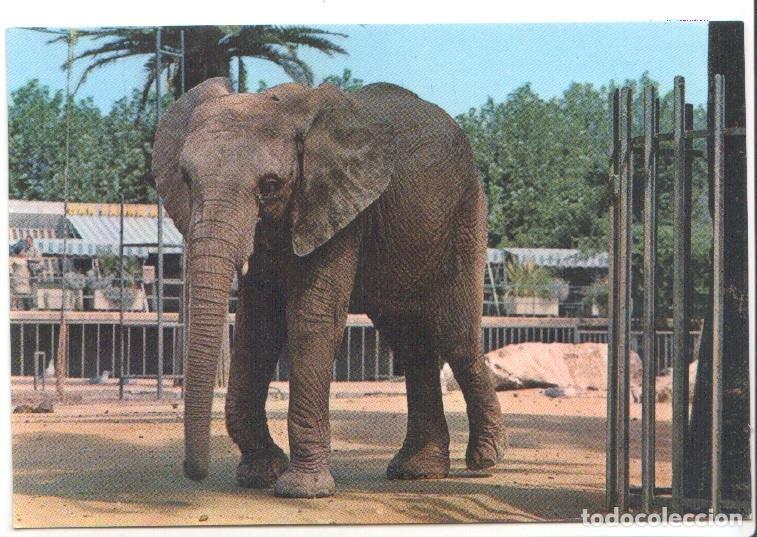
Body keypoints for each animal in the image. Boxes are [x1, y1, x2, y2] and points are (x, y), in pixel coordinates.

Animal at [152, 77, 506, 498]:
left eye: (269, 185)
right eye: (186, 180)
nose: (194, 473)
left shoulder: (338, 205)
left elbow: (311, 317)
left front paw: (301, 490)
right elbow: (259, 325)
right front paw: (259, 475)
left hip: (466, 213)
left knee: (455, 333)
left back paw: (486, 460)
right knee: (408, 341)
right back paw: (418, 470)